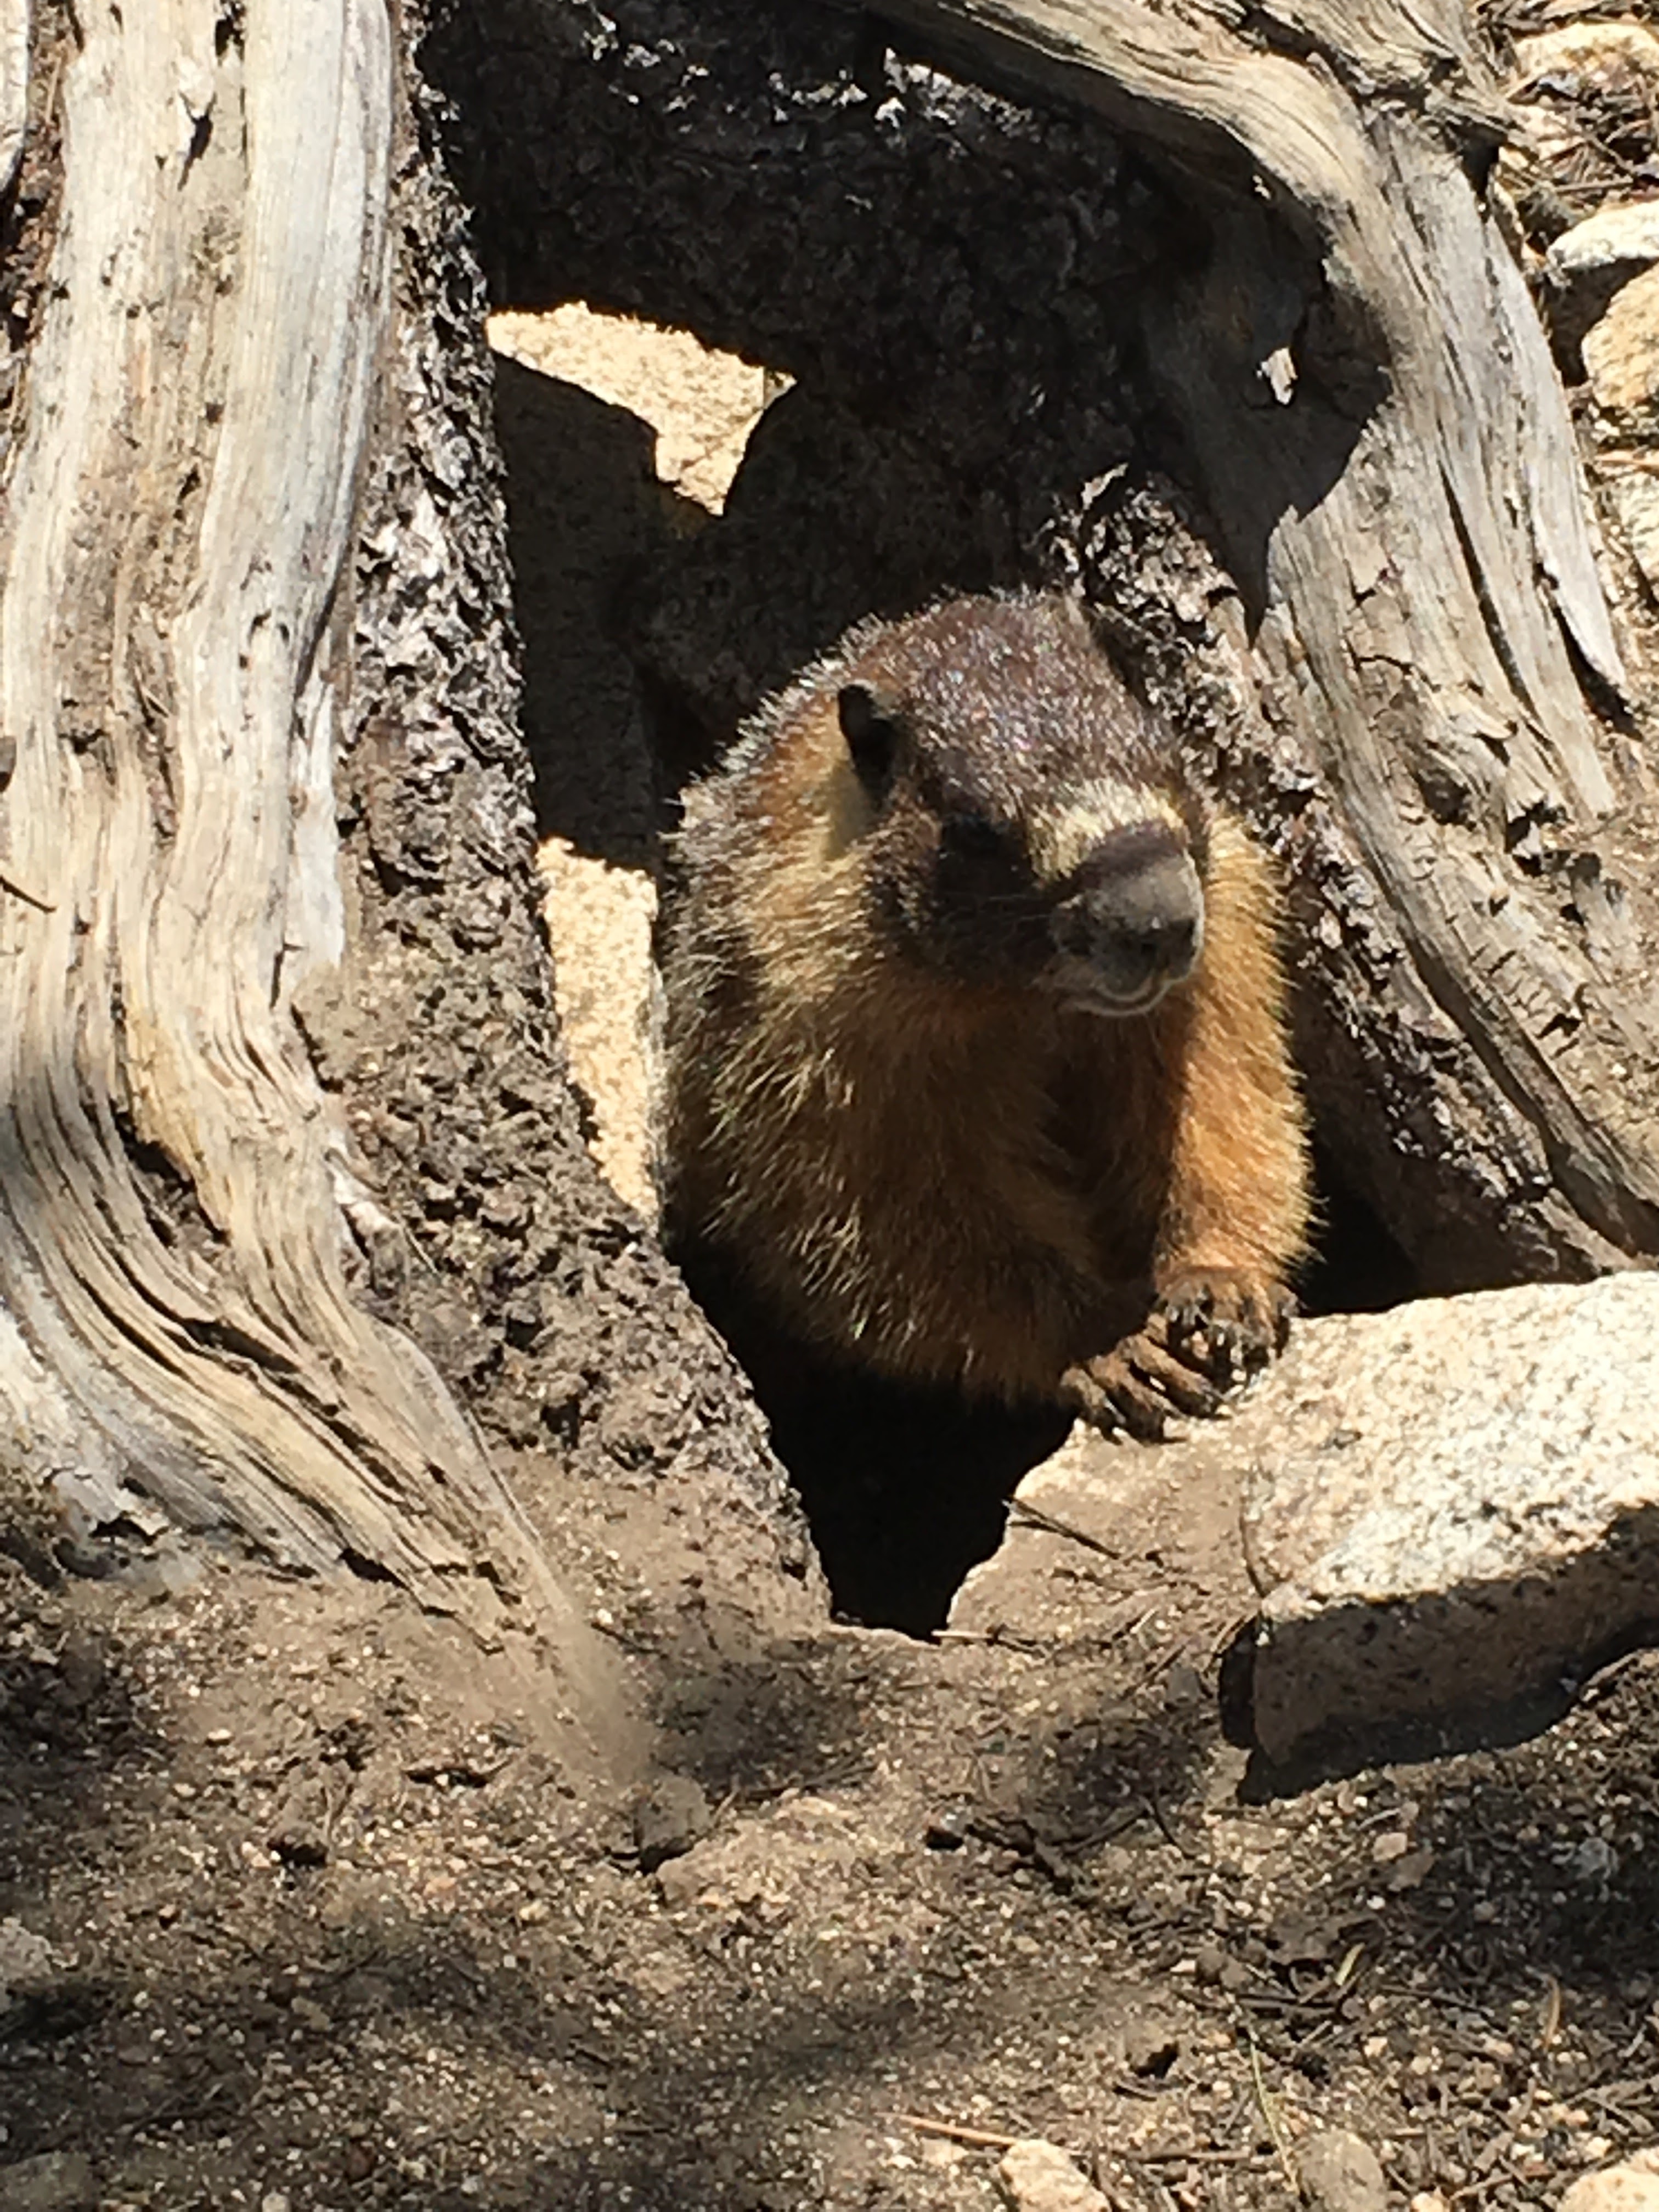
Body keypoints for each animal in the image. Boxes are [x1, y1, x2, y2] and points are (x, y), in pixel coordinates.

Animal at [660, 591, 1310, 1439]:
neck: (1030, 1005)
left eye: (1164, 747)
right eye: (977, 829)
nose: (1161, 921)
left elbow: (1223, 1098)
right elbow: (899, 1218)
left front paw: (1221, 1283)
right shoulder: (818, 1033)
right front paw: (1117, 1344)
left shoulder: (1222, 939)